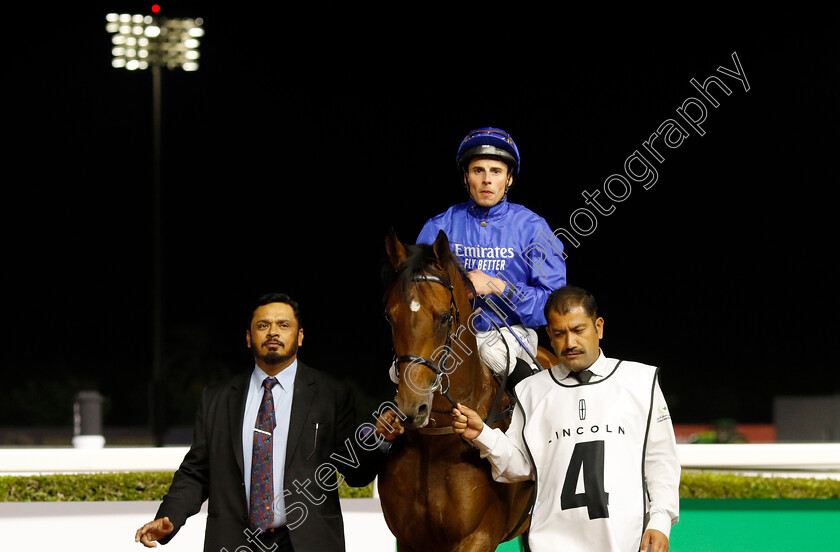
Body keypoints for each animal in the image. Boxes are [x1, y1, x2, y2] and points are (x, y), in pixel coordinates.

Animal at [380, 227, 556, 552]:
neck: (435, 442)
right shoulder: (408, 540)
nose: (411, 408)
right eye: (389, 316)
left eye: (444, 317)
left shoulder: (478, 537)